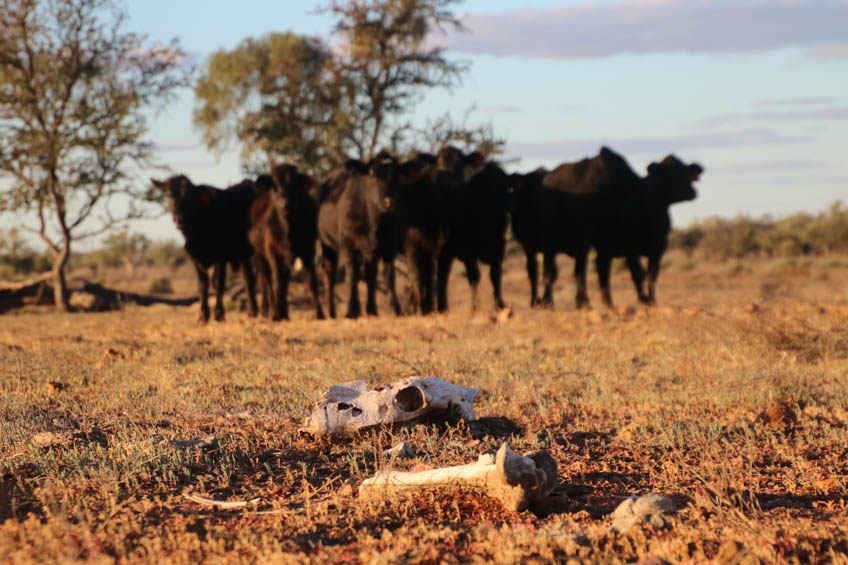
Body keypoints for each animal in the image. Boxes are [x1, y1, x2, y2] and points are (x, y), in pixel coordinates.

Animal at [152, 174, 258, 322]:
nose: (180, 219)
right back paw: (252, 312)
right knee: (247, 278)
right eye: (169, 194)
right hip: (243, 255)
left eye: (190, 196)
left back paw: (258, 311)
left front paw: (219, 314)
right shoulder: (195, 258)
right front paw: (203, 316)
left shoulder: (220, 257)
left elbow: (218, 284)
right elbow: (202, 285)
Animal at [248, 165, 324, 320]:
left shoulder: (308, 251)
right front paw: (276, 314)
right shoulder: (273, 252)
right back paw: (268, 311)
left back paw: (284, 312)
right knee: (266, 282)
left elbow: (311, 281)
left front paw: (319, 313)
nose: (285, 203)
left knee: (283, 281)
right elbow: (277, 282)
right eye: (274, 186)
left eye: (294, 185)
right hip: (260, 256)